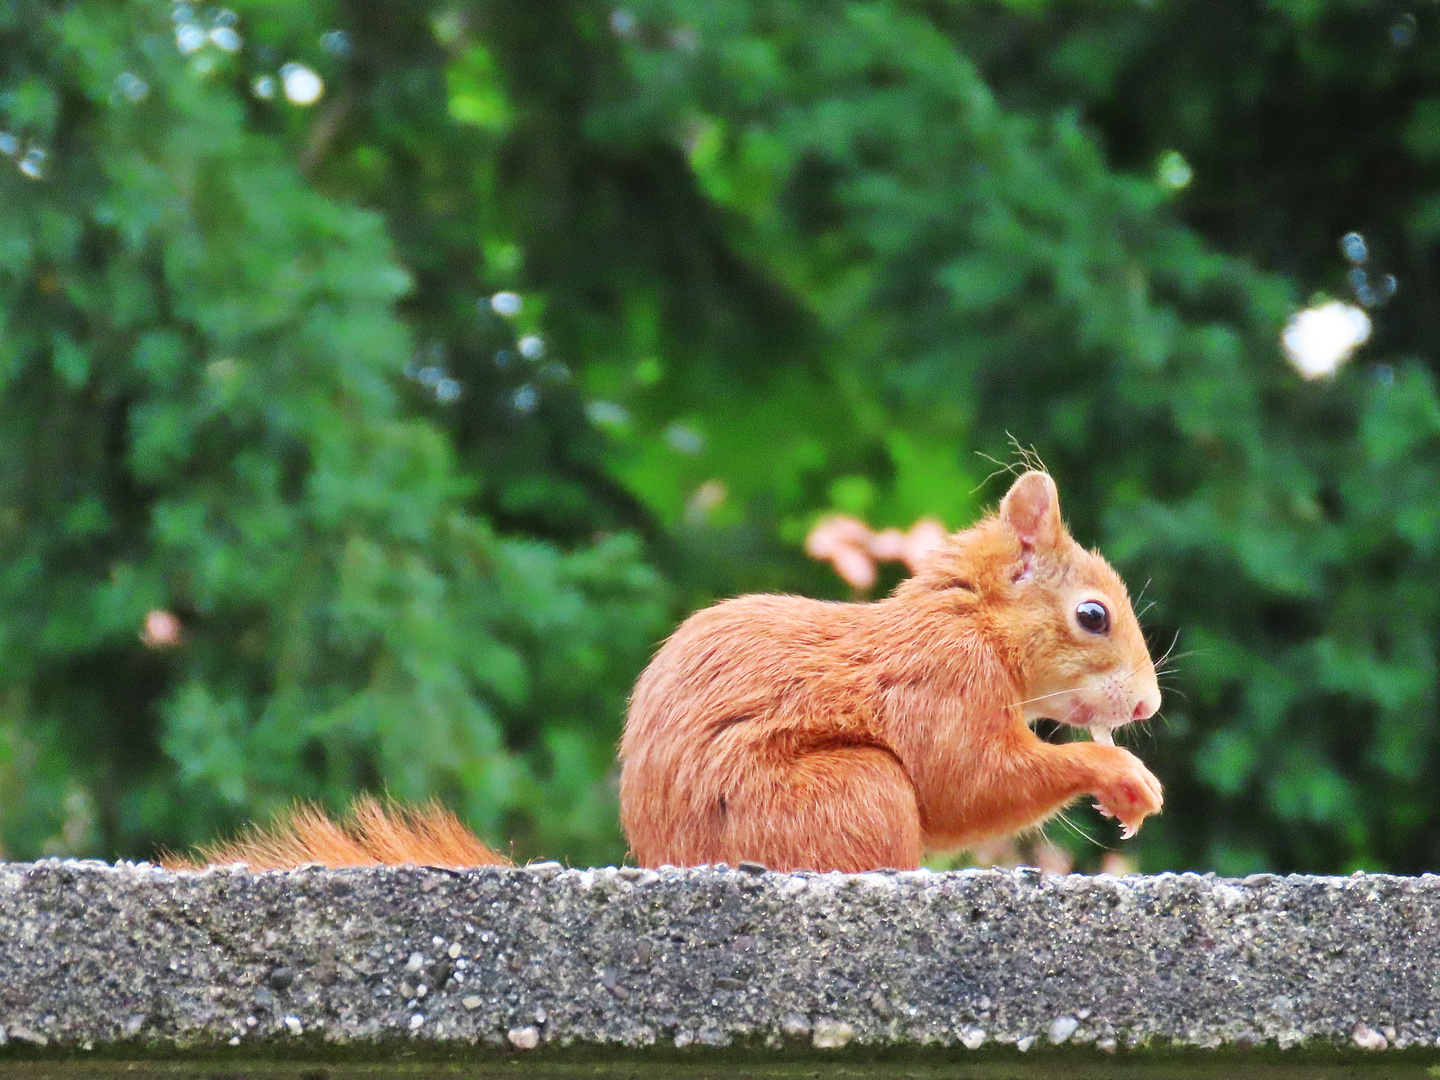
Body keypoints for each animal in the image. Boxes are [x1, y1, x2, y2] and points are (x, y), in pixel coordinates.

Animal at [177, 469, 1157, 875]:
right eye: (1093, 616)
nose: (1147, 704)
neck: (971, 624)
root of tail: (667, 861)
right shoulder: (940, 686)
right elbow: (969, 780)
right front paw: (1117, 772)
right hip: (852, 792)